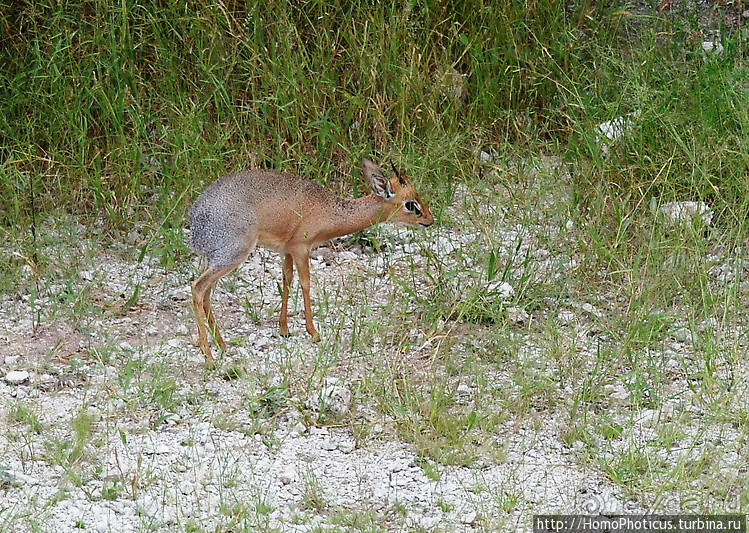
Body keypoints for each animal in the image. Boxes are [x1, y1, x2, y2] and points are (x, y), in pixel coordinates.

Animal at [188, 158, 432, 366]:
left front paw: (284, 329)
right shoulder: (300, 248)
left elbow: (287, 280)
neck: (330, 211)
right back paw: (208, 357)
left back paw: (221, 344)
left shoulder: (286, 251)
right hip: (232, 255)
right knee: (197, 287)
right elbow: (305, 283)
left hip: (219, 259)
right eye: (411, 204)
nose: (429, 220)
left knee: (206, 293)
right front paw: (313, 332)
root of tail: (195, 219)